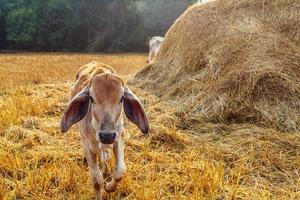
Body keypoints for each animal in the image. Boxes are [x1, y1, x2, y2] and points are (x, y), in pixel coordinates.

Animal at [60, 61, 149, 199]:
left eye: (121, 98)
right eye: (91, 98)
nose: (107, 135)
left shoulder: (118, 137)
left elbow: (120, 172)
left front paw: (109, 187)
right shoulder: (86, 143)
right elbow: (96, 181)